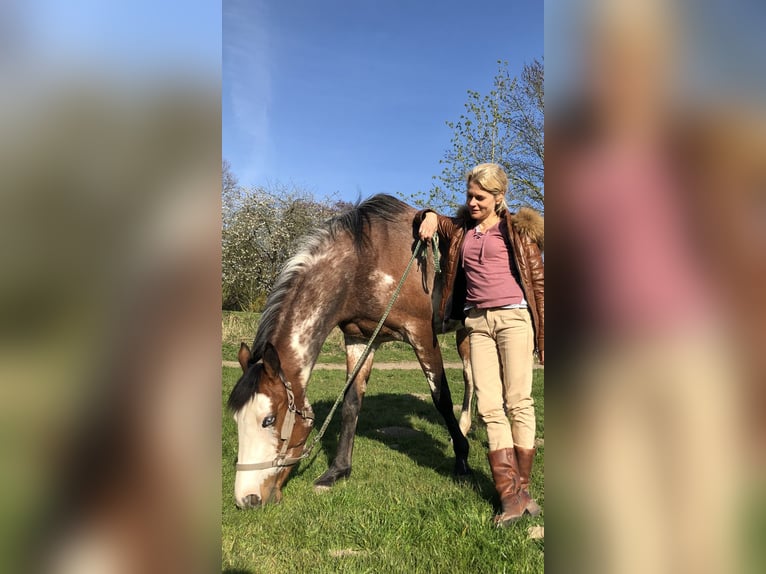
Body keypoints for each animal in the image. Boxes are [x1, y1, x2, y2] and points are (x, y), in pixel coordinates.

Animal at [227, 194, 475, 508]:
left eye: (268, 420)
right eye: (236, 419)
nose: (246, 499)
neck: (367, 263)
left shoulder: (421, 333)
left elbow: (441, 398)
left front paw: (462, 459)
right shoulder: (359, 338)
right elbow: (350, 404)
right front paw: (337, 470)